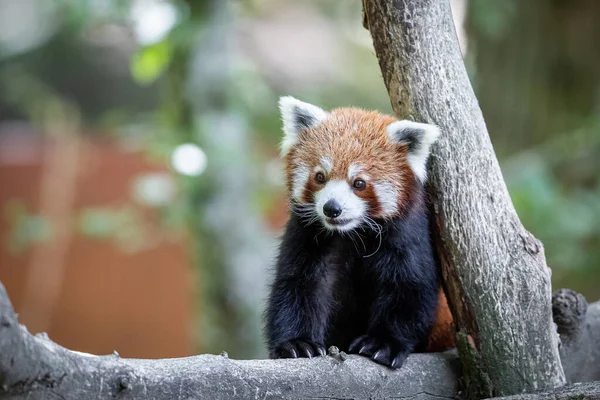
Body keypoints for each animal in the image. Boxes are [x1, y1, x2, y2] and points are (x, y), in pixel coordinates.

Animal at [264, 96, 452, 368]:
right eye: (320, 177)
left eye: (359, 183)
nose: (332, 208)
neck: (352, 235)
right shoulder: (306, 234)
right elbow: (298, 285)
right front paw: (296, 343)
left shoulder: (408, 235)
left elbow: (410, 288)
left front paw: (383, 343)